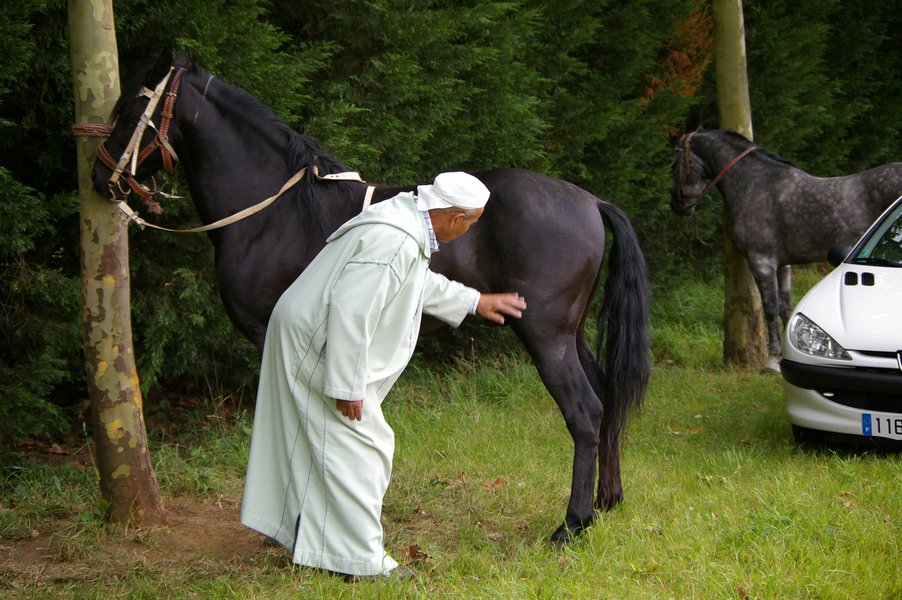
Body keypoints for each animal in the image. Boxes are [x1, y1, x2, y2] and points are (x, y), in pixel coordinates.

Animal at [95, 49, 652, 540]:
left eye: (130, 110)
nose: (101, 176)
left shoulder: (269, 334)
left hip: (546, 336)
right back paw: (607, 501)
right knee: (607, 397)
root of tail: (591, 200)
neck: (275, 212)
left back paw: (572, 524)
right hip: (571, 334)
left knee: (585, 411)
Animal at [672, 129, 902, 368]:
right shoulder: (783, 265)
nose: (677, 205)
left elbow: (771, 308)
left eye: (674, 165)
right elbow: (786, 309)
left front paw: (772, 360)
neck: (755, 184)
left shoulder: (762, 261)